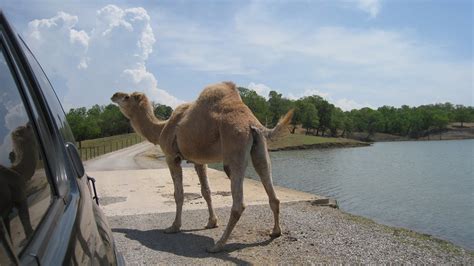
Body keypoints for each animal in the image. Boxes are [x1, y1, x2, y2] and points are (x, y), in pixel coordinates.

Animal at [113, 81, 294, 251]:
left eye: (127, 97)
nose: (114, 95)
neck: (161, 128)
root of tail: (251, 121)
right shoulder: (199, 161)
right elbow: (206, 191)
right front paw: (211, 222)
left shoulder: (171, 157)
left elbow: (179, 194)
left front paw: (173, 227)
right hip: (260, 148)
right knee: (271, 190)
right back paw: (275, 232)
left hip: (234, 146)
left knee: (238, 204)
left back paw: (218, 245)